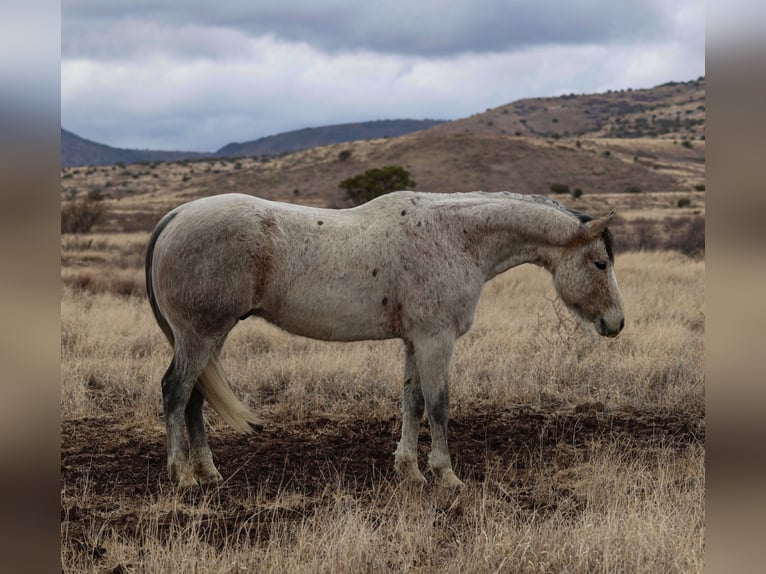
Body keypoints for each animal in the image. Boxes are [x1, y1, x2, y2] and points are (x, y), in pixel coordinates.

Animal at [146, 191, 624, 488]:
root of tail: (175, 216)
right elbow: (439, 405)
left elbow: (412, 403)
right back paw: (183, 475)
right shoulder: (436, 340)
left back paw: (208, 472)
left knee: (194, 397)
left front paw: (409, 470)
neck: (455, 237)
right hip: (199, 336)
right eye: (600, 263)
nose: (616, 322)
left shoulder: (415, 342)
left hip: (211, 338)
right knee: (175, 391)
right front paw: (446, 475)